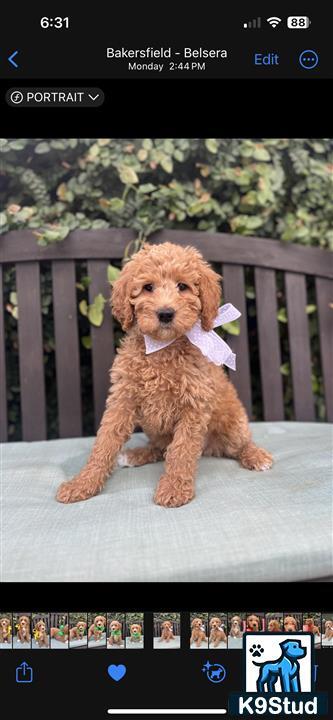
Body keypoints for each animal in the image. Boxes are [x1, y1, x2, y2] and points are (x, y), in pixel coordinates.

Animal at [55, 242, 272, 506]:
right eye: (148, 287)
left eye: (183, 286)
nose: (166, 313)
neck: (162, 348)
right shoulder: (122, 399)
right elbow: (105, 442)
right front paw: (82, 483)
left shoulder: (194, 405)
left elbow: (181, 450)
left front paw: (174, 489)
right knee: (160, 448)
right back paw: (136, 455)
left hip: (232, 423)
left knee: (239, 444)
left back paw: (257, 456)